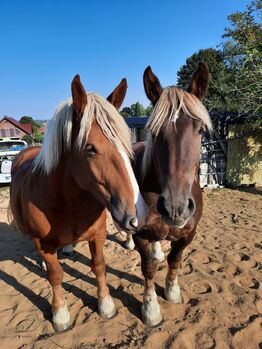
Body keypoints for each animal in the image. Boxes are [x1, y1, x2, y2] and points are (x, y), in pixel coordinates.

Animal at [9, 75, 146, 330]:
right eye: (90, 148)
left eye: (127, 143)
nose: (137, 214)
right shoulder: (42, 243)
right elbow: (55, 275)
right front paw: (60, 314)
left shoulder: (98, 234)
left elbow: (99, 266)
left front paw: (106, 304)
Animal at [130, 61, 212, 324]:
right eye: (154, 131)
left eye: (200, 130)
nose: (176, 208)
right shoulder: (141, 235)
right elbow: (148, 269)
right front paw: (150, 309)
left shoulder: (188, 234)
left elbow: (175, 260)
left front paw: (172, 291)